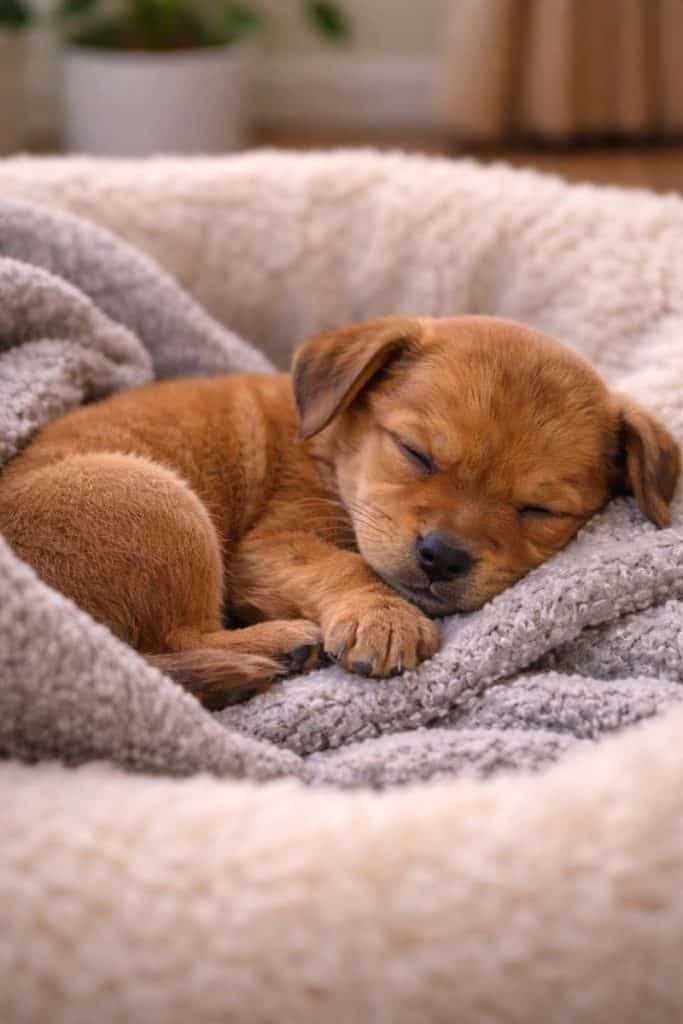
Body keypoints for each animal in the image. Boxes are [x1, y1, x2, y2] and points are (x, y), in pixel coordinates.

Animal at [0, 316, 678, 708]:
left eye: (540, 510)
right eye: (414, 452)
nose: (442, 557)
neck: (328, 448)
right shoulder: (269, 547)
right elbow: (344, 567)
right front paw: (384, 618)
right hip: (157, 499)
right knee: (175, 639)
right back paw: (277, 648)